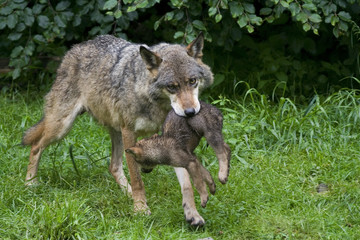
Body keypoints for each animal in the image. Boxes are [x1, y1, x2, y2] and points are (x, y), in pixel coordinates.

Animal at [21, 32, 214, 226]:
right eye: (172, 87)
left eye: (192, 81)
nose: (190, 112)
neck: (157, 105)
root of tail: (76, 47)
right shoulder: (130, 133)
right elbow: (137, 179)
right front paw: (140, 209)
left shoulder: (170, 140)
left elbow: (186, 183)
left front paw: (192, 214)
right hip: (62, 127)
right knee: (36, 146)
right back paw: (30, 183)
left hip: (114, 132)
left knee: (113, 166)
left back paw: (128, 195)